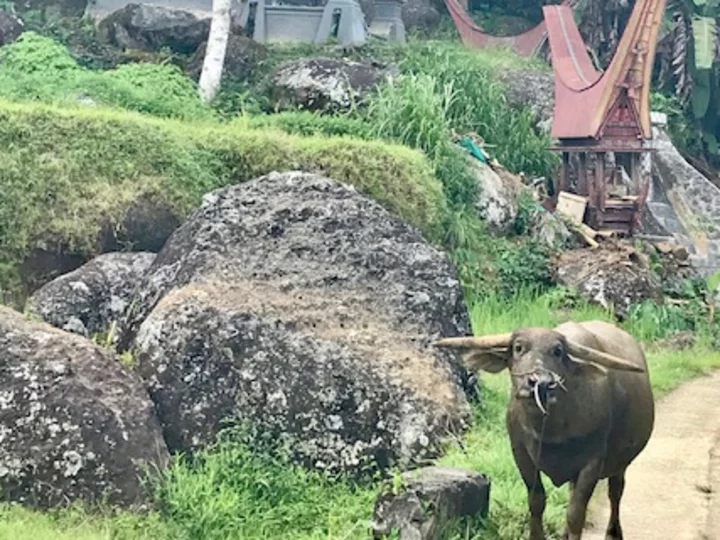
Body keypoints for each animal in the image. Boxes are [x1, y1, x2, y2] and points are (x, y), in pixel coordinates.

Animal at [435, 320, 654, 540]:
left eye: (557, 351)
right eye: (518, 347)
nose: (539, 382)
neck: (551, 429)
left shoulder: (593, 462)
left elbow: (576, 513)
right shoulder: (521, 453)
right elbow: (536, 501)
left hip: (621, 462)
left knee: (615, 491)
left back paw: (613, 533)